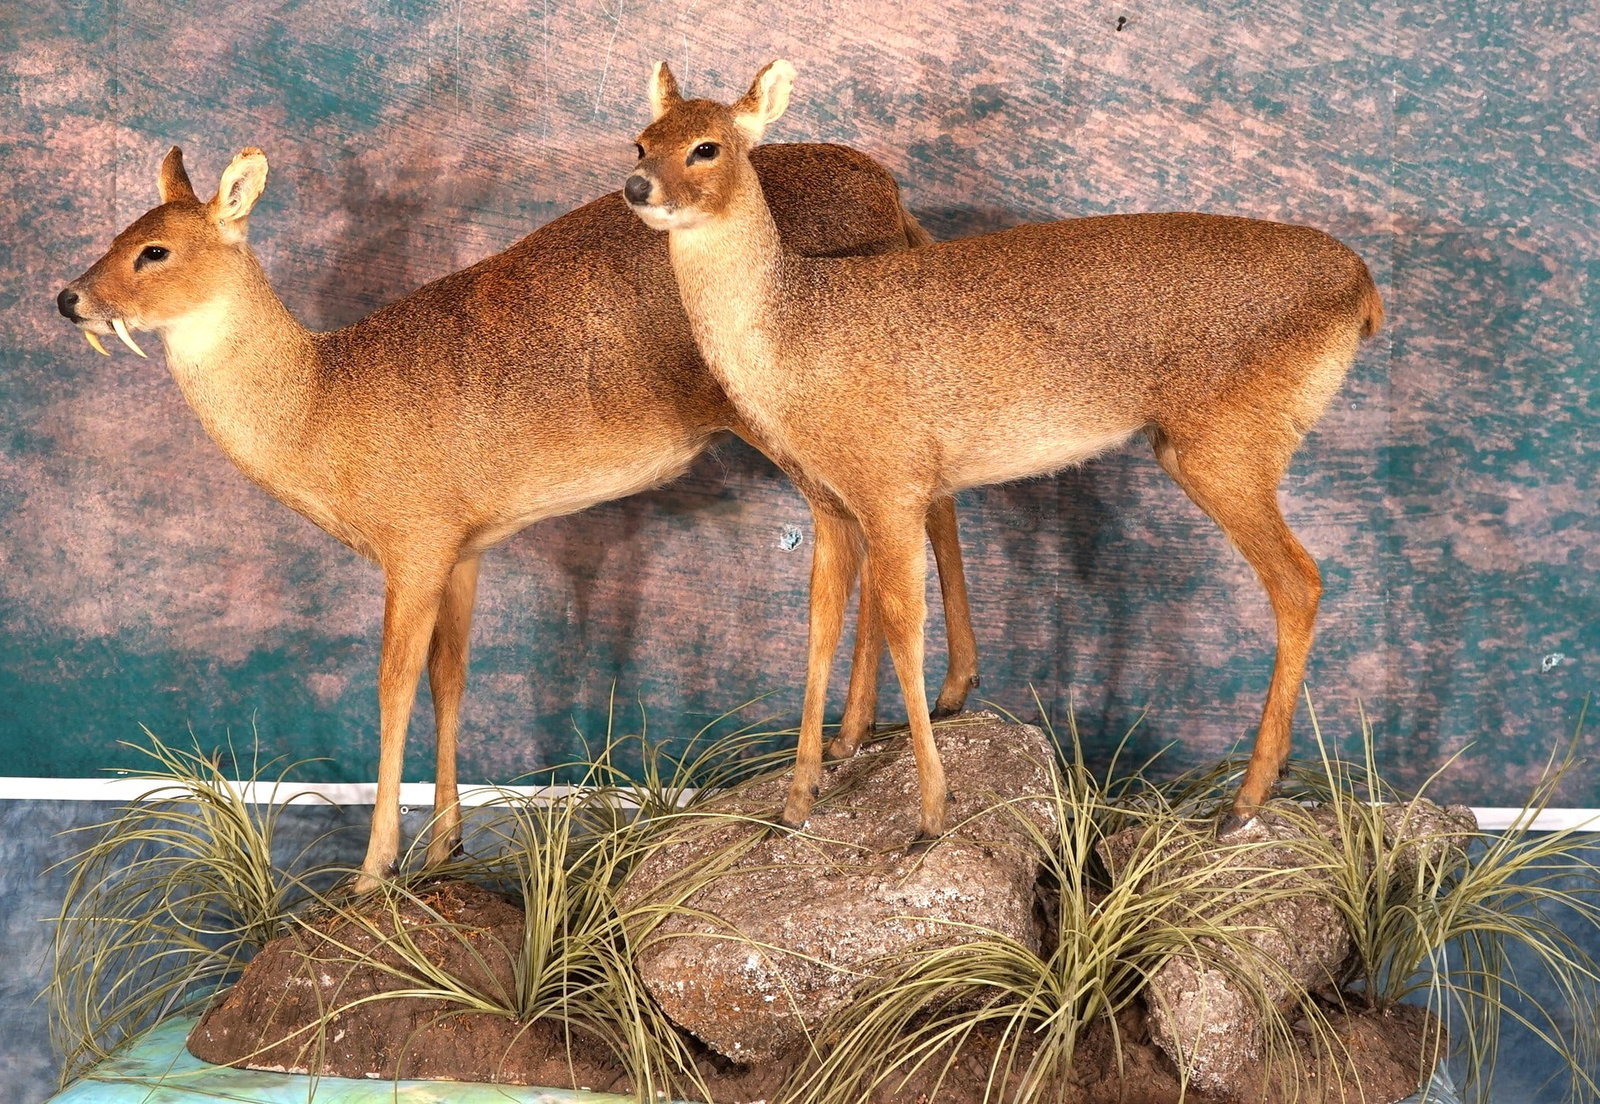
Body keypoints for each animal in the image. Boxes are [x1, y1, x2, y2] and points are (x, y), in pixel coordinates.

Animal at [56, 141, 982, 893]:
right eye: (118, 232)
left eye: (154, 249)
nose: (68, 298)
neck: (322, 409)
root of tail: (890, 193)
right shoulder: (467, 548)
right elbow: (451, 679)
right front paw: (444, 846)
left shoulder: (414, 541)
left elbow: (391, 686)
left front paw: (374, 869)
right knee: (914, 510)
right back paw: (897, 718)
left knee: (856, 531)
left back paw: (835, 765)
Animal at [625, 60, 1385, 847]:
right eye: (640, 141)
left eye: (708, 147)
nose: (637, 187)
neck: (793, 335)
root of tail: (1364, 287)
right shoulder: (830, 504)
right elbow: (819, 625)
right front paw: (797, 800)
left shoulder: (892, 486)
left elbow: (903, 625)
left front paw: (931, 810)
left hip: (1227, 449)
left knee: (1300, 581)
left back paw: (1245, 799)